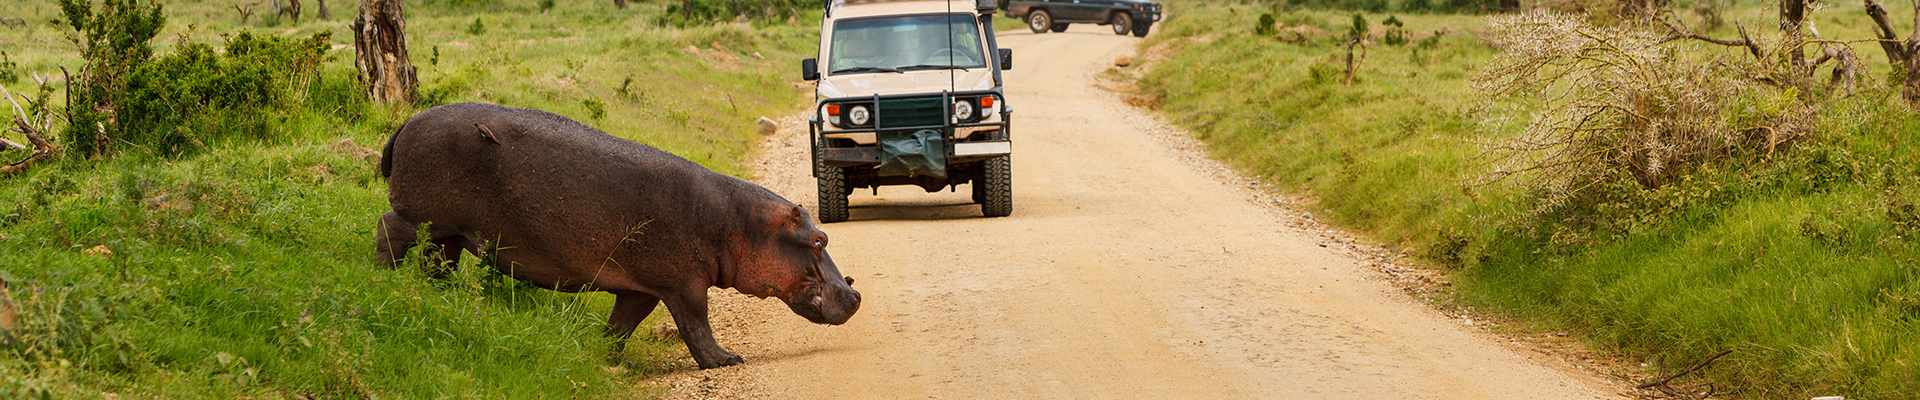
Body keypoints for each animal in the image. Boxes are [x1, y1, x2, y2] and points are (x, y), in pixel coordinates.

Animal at [374, 102, 856, 369]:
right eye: (819, 241)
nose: (855, 294)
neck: (740, 223)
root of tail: (404, 123)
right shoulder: (684, 285)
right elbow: (697, 325)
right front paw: (727, 360)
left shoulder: (642, 288)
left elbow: (621, 325)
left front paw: (604, 360)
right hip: (422, 217)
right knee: (388, 229)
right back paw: (384, 277)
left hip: (450, 233)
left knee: (436, 261)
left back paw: (437, 294)